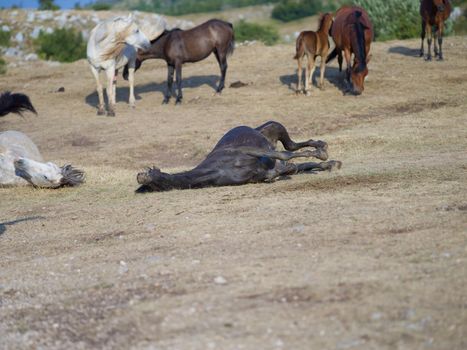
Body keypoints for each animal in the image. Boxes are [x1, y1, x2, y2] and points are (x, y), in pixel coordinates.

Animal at [135, 121, 340, 193]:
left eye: (150, 175)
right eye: (151, 187)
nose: (139, 176)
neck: (217, 170)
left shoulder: (250, 150)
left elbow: (283, 153)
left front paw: (320, 154)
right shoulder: (260, 175)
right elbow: (280, 170)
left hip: (276, 127)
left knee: (292, 146)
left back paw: (322, 149)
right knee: (298, 161)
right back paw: (332, 163)